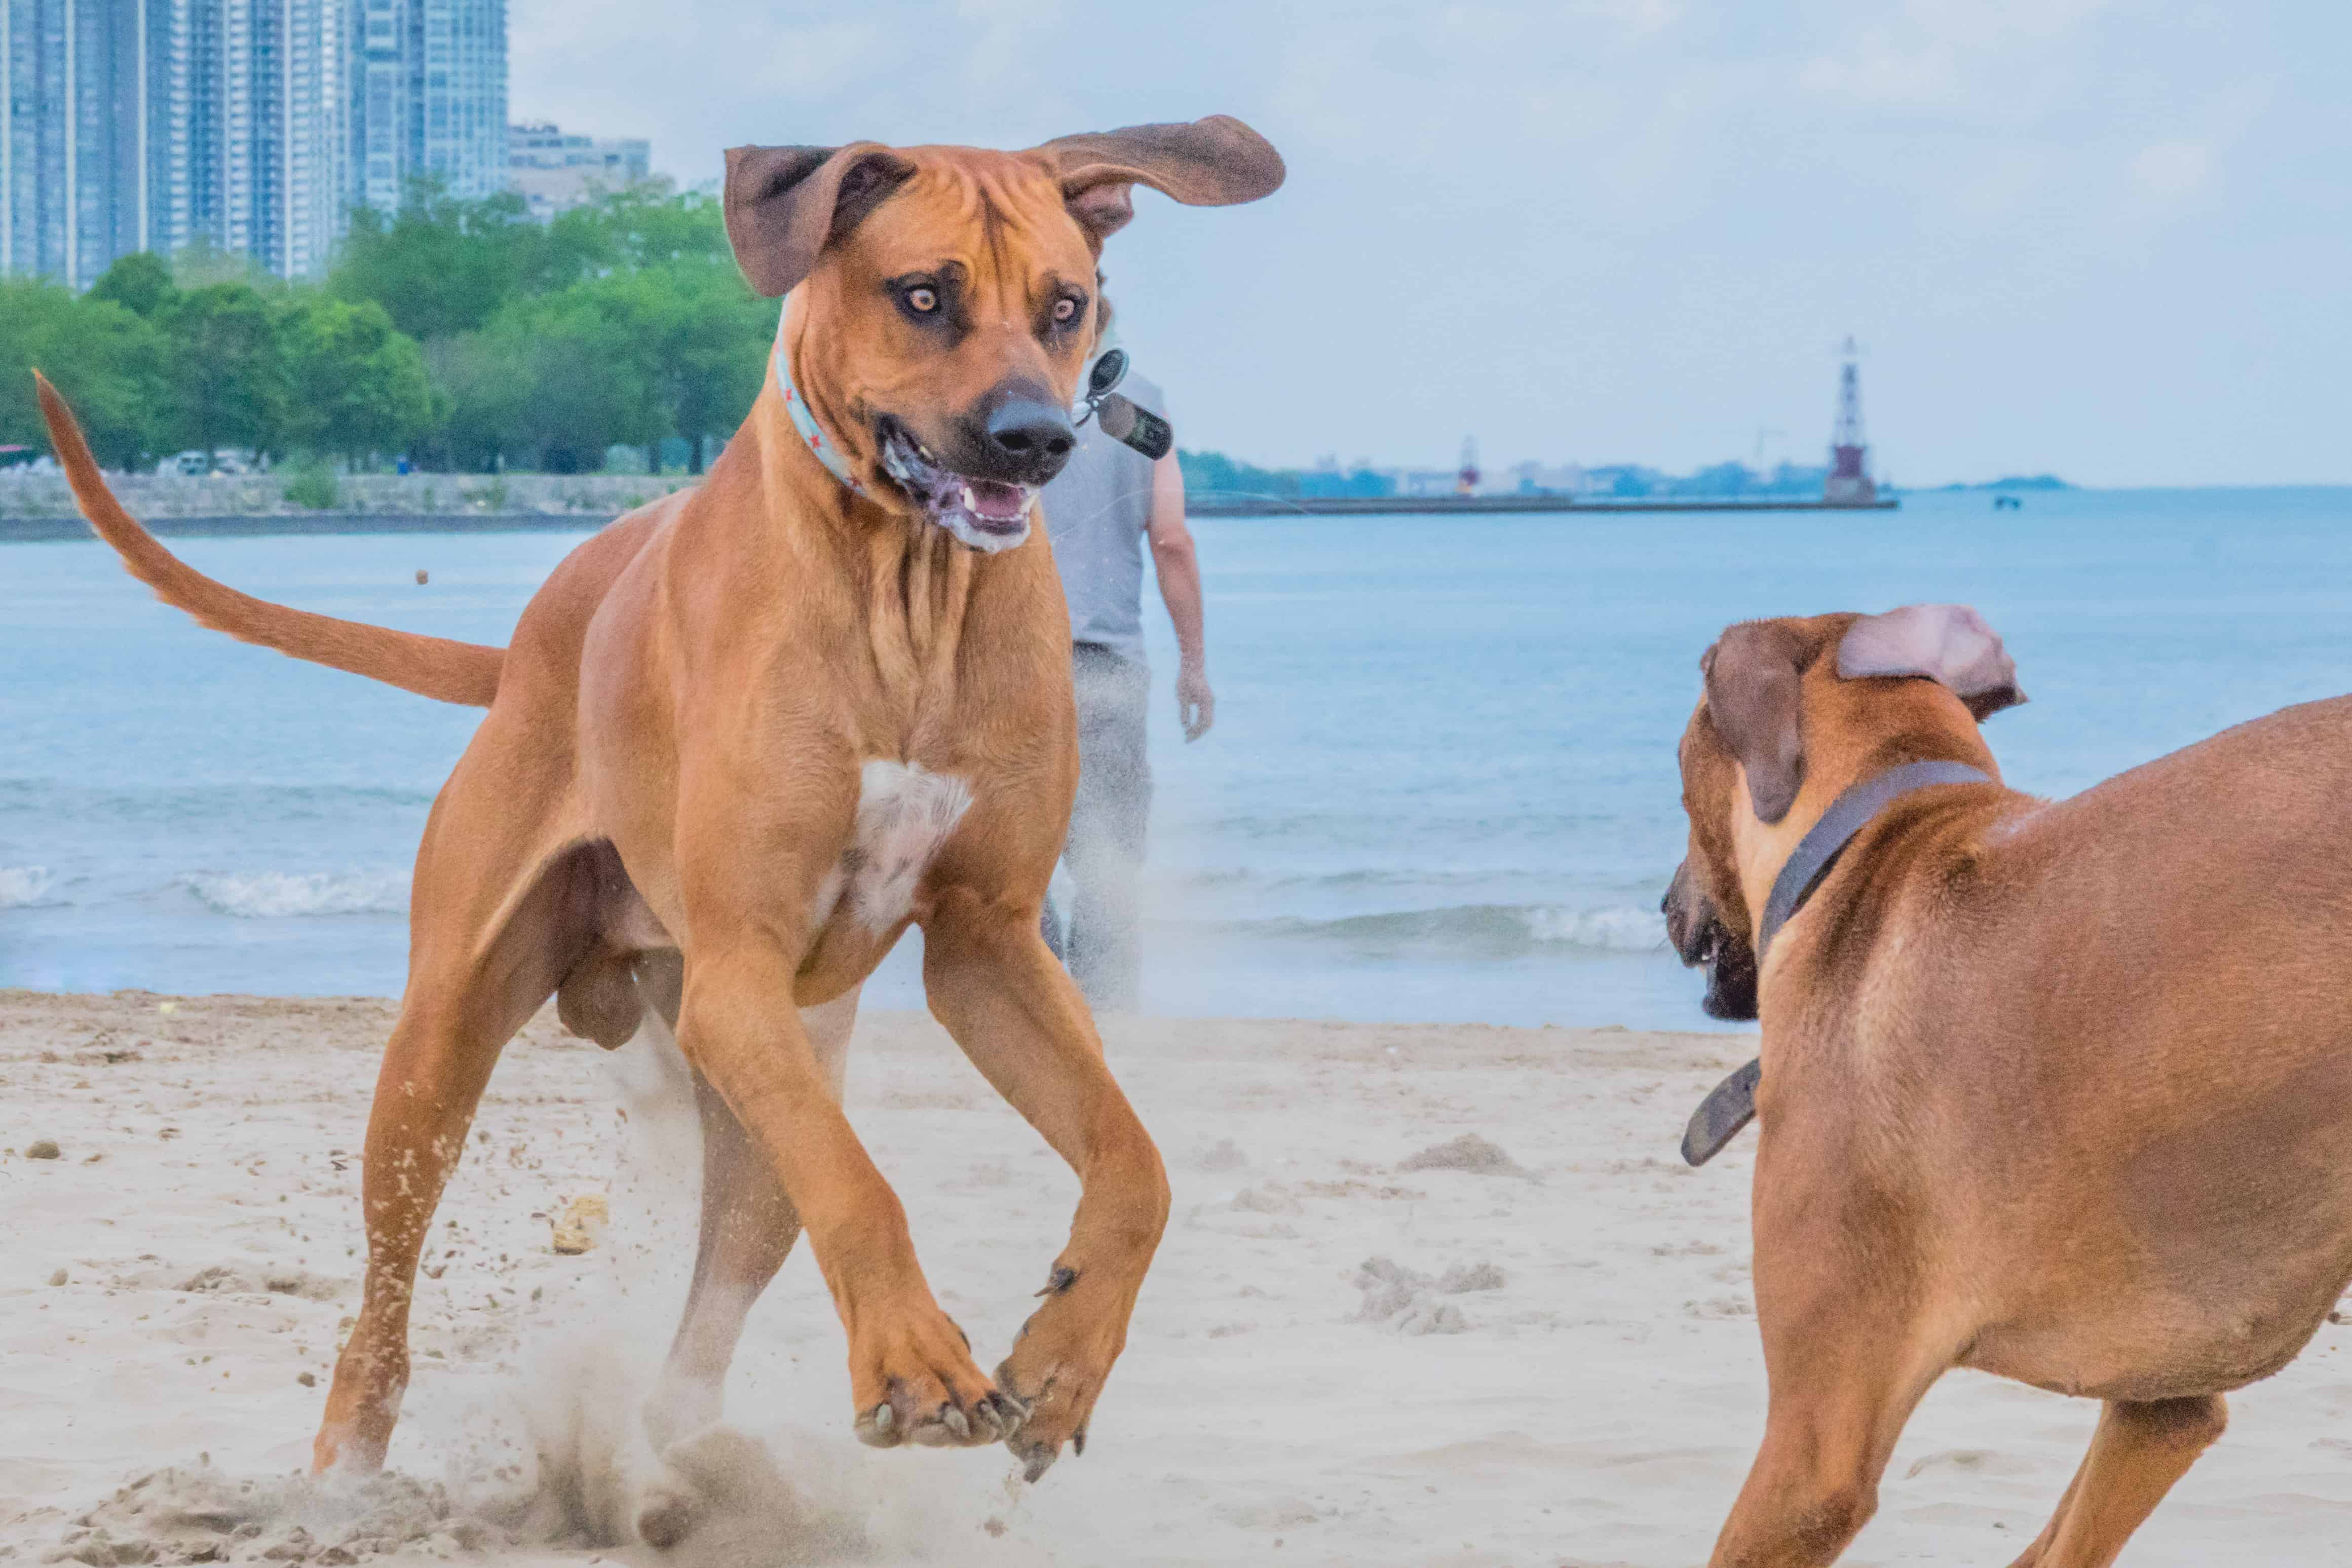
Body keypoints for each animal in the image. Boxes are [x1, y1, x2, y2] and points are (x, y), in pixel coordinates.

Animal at [32, 113, 1288, 1523]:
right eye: (923, 296)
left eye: (1067, 307)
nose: (1033, 441)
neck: (906, 590)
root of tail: (527, 649)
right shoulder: (740, 972)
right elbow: (868, 1186)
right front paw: (918, 1361)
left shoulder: (989, 946)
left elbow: (1136, 1166)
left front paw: (1063, 1363)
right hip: (443, 1050)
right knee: (386, 1297)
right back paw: (347, 1479)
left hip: (759, 1112)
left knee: (709, 1321)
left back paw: (697, 1472)